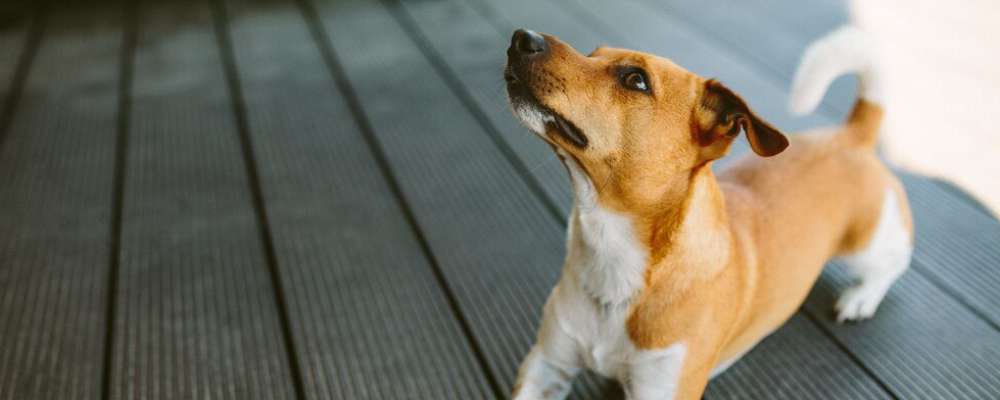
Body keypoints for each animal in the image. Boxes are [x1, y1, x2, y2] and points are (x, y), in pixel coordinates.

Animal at [508, 25, 916, 400]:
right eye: (592, 54)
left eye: (636, 79)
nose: (521, 37)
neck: (612, 255)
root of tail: (851, 135)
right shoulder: (547, 363)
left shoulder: (663, 388)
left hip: (867, 244)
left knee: (894, 263)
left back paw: (861, 297)